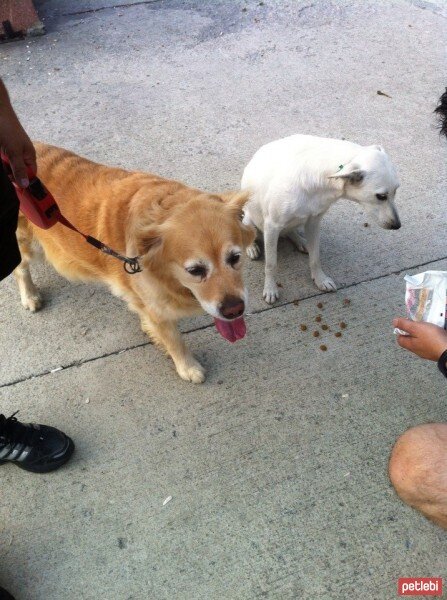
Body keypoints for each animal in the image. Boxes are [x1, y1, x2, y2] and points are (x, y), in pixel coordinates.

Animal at [14, 143, 256, 382]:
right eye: (195, 270)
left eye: (235, 258)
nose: (234, 310)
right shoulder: (157, 312)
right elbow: (174, 341)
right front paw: (187, 367)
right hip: (27, 246)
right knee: (20, 269)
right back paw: (30, 296)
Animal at [242, 137, 402, 304]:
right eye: (381, 196)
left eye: (396, 190)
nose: (397, 225)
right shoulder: (272, 226)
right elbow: (271, 264)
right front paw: (270, 289)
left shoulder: (313, 222)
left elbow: (315, 258)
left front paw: (320, 280)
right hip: (249, 219)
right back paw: (252, 247)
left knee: (290, 231)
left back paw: (301, 241)